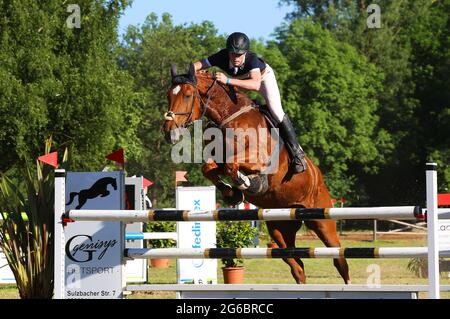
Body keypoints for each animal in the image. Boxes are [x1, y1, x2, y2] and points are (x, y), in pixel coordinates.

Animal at [163, 63, 350, 284]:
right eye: (169, 95)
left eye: (187, 95)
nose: (169, 132)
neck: (228, 119)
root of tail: (317, 176)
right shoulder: (218, 159)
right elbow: (210, 168)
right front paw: (232, 193)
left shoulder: (258, 159)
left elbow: (232, 166)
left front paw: (248, 183)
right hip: (280, 228)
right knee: (297, 266)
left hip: (322, 220)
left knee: (339, 259)